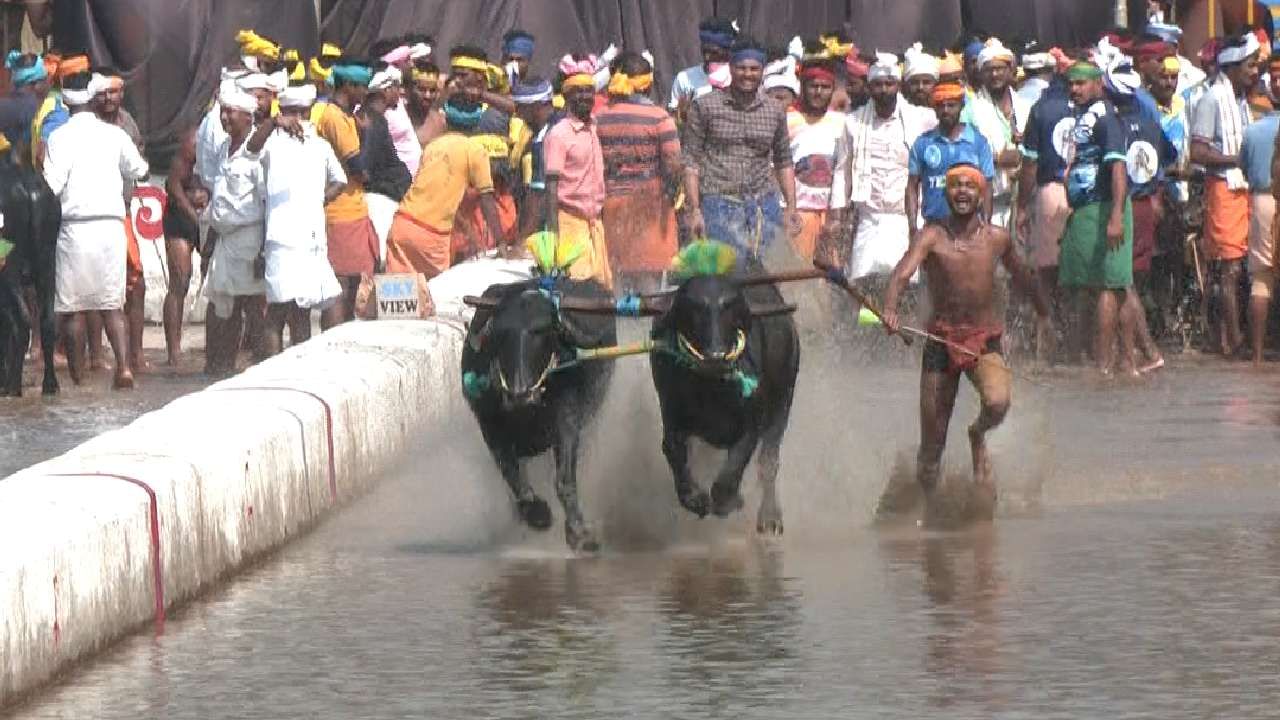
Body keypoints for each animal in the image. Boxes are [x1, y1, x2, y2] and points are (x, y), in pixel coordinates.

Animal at [650, 263, 798, 532]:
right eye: (693, 308)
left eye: (730, 307)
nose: (716, 357)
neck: (712, 390)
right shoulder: (672, 416)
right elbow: (673, 452)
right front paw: (694, 498)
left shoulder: (750, 429)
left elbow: (730, 474)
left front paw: (728, 502)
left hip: (783, 403)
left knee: (769, 462)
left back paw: (770, 515)